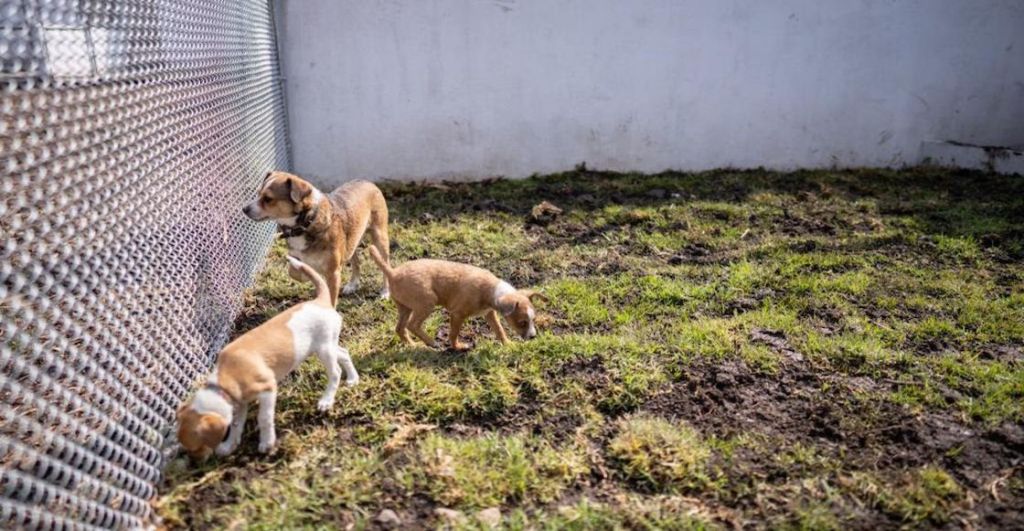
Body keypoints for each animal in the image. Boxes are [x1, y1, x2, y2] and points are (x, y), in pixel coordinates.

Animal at [173, 255, 356, 458]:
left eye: (196, 447)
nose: (197, 461)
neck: (223, 382)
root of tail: (320, 300)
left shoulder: (267, 390)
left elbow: (264, 418)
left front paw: (267, 443)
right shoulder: (241, 403)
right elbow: (236, 425)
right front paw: (229, 445)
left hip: (324, 349)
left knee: (335, 372)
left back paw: (326, 400)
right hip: (326, 345)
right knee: (344, 354)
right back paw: (353, 379)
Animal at [241, 170, 393, 302]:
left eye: (268, 199)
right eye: (258, 193)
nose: (244, 209)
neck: (305, 223)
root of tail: (367, 181)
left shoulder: (333, 273)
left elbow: (330, 299)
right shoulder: (298, 259)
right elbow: (294, 272)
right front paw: (308, 276)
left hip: (380, 237)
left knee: (385, 265)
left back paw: (385, 292)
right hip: (351, 240)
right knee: (355, 260)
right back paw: (352, 284)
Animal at [366, 247, 544, 351]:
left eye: (533, 320)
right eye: (522, 323)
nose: (533, 337)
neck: (492, 291)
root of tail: (392, 273)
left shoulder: (489, 314)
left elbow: (499, 330)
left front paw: (507, 344)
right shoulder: (457, 315)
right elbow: (453, 333)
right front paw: (457, 347)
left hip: (405, 307)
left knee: (400, 328)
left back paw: (413, 345)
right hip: (427, 303)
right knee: (412, 325)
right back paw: (431, 342)